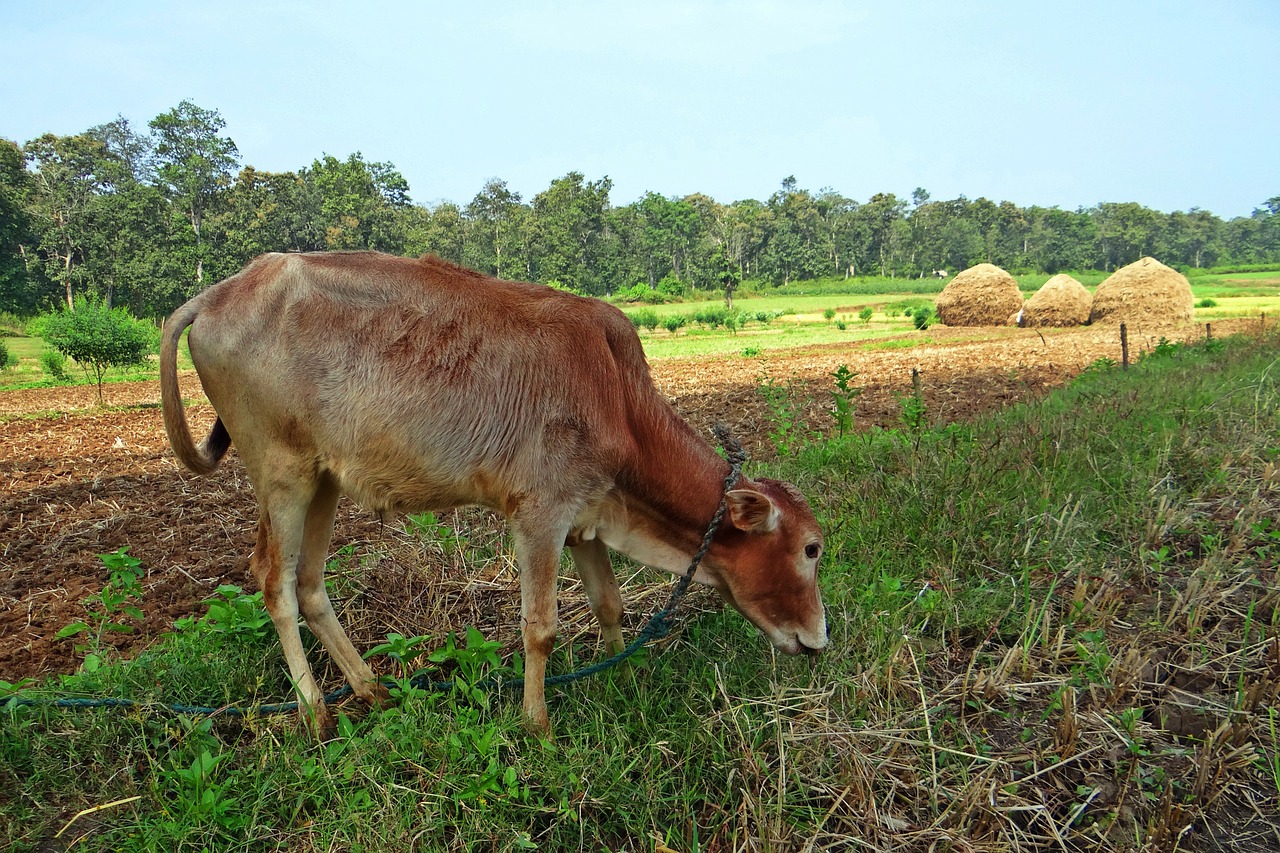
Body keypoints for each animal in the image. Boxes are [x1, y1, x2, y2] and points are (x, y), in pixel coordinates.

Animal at [160, 251, 824, 732]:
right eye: (811, 548)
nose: (818, 642)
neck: (617, 396)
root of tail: (215, 295)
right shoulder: (539, 514)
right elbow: (540, 628)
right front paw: (537, 726)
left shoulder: (584, 515)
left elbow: (610, 603)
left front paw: (624, 679)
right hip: (283, 473)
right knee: (273, 580)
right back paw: (315, 711)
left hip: (324, 479)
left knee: (308, 582)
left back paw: (371, 689)